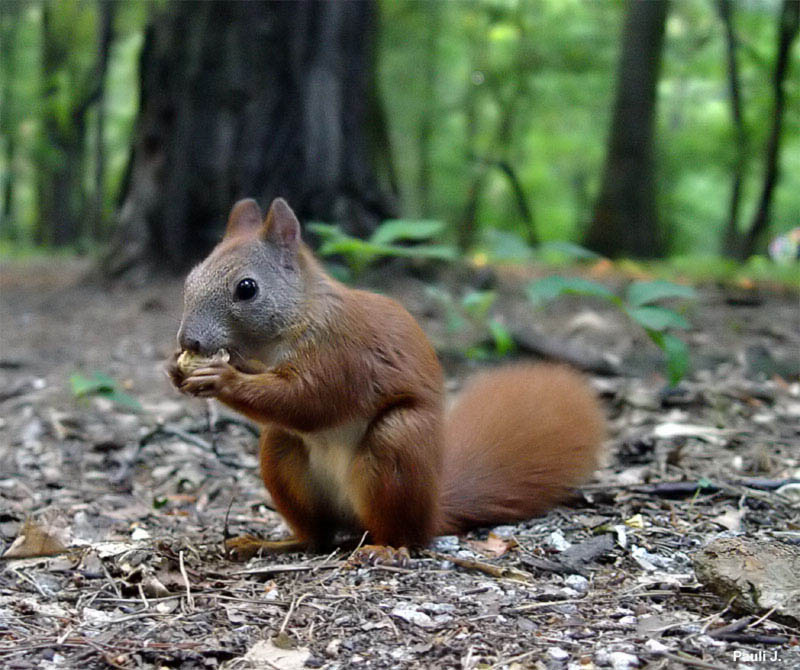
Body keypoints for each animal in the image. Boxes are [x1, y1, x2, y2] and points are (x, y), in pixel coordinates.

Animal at [169, 197, 608, 560]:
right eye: (189, 279)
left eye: (247, 288)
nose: (188, 340)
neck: (296, 320)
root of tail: (433, 509)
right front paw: (177, 368)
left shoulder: (342, 354)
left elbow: (308, 400)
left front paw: (221, 378)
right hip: (281, 453)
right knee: (318, 536)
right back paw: (270, 544)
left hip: (398, 445)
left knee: (404, 534)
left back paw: (386, 549)